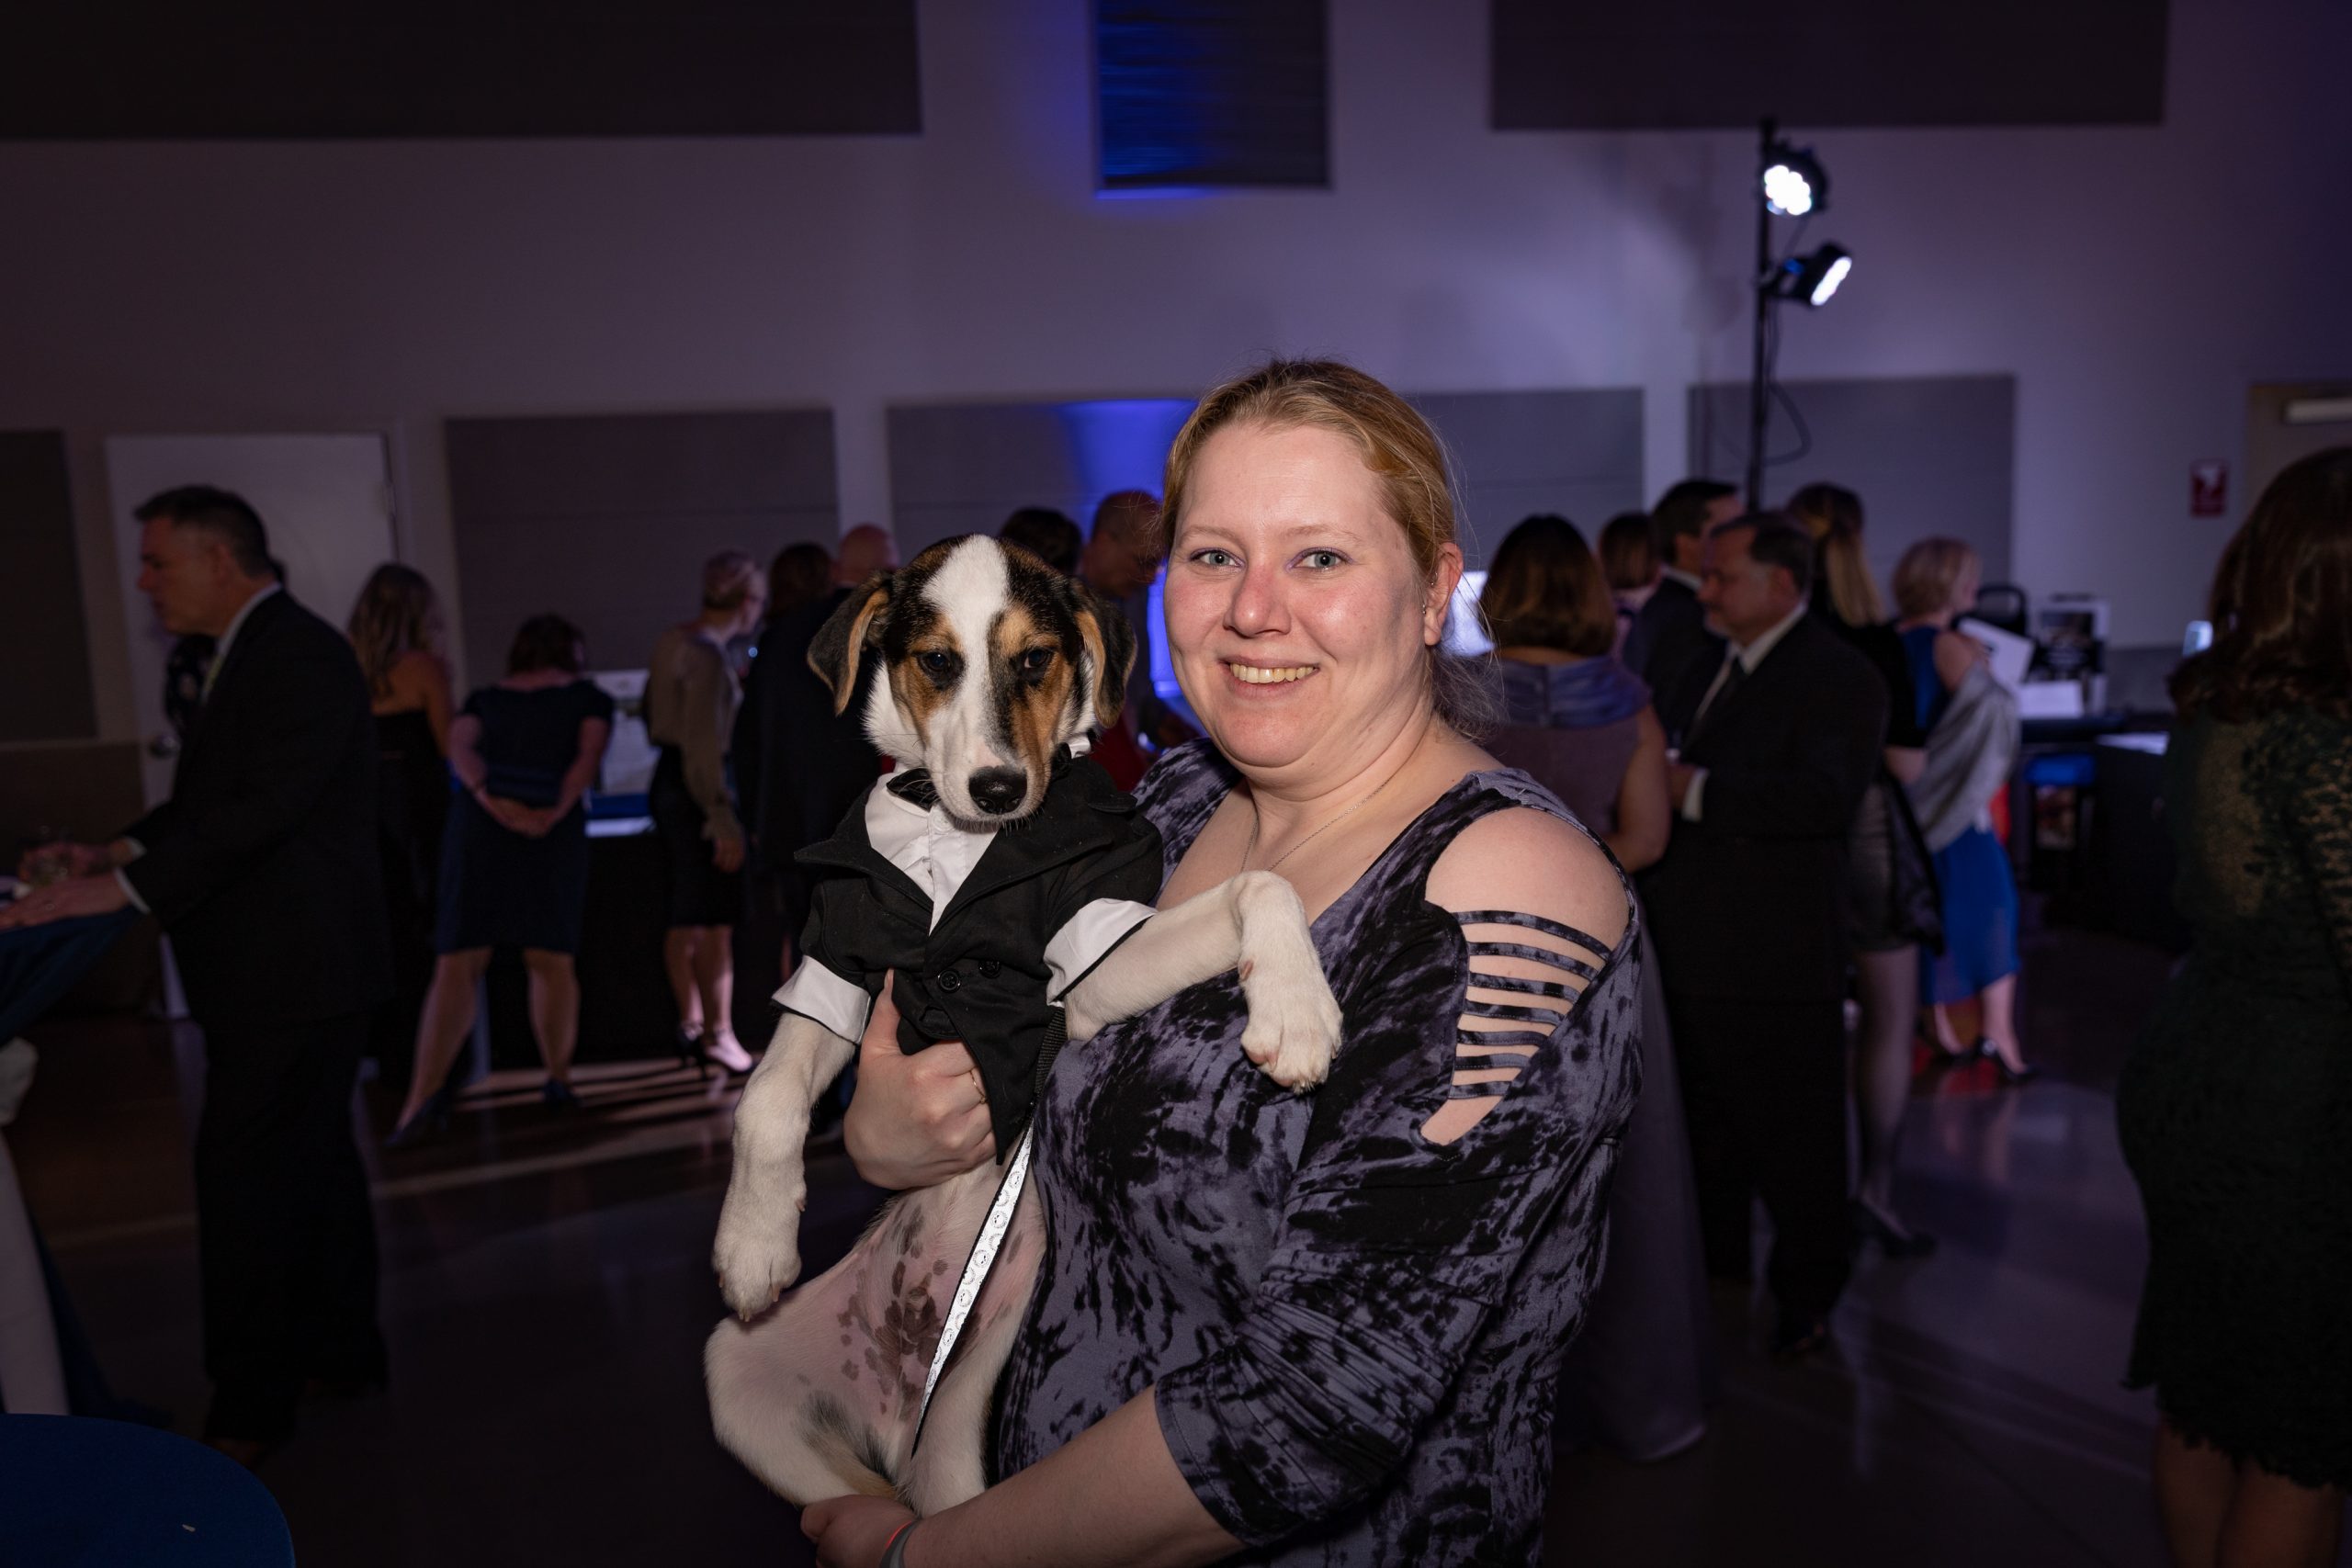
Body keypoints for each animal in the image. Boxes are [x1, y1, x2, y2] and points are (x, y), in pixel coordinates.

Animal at [706, 534, 1343, 1515]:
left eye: (1036, 659)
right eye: (937, 662)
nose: (1001, 788)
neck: (953, 836)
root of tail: (896, 1409)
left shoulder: (1091, 957)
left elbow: (1261, 883)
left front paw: (1297, 1006)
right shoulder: (837, 956)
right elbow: (768, 1098)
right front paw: (752, 1242)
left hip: (958, 1444)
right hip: (739, 1376)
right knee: (859, 1508)